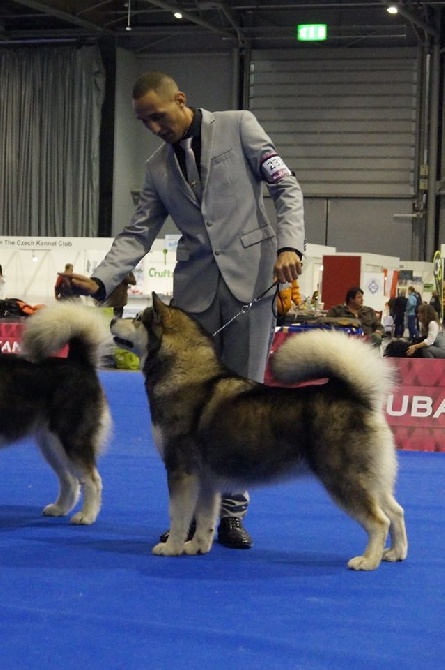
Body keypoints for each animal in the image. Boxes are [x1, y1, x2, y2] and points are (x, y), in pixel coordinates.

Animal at [2, 304, 112, 524]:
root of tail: (80, 362)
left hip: (71, 437)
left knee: (91, 479)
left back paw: (86, 516)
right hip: (51, 443)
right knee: (70, 479)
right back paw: (60, 508)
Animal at [110, 294, 406, 572]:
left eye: (138, 319)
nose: (113, 318)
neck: (182, 373)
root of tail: (355, 396)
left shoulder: (180, 470)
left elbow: (179, 515)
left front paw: (172, 547)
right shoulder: (206, 478)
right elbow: (204, 517)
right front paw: (196, 546)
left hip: (342, 477)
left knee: (379, 520)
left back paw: (368, 560)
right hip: (373, 477)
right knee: (396, 511)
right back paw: (395, 553)